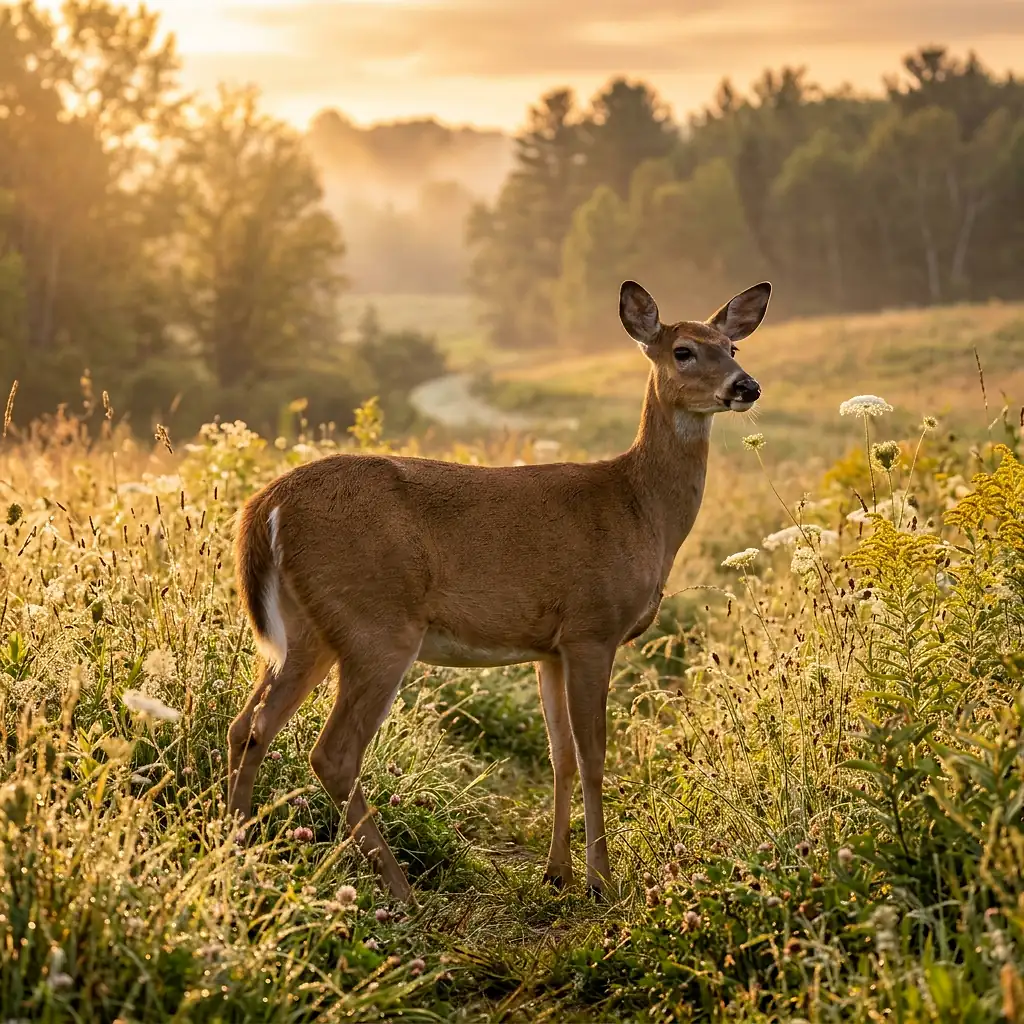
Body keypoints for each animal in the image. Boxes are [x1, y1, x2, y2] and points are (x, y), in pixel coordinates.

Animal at [227, 279, 771, 902]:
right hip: (375, 625)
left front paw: (557, 874)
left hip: (305, 628)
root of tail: (265, 505)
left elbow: (560, 755)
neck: (640, 509)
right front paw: (601, 881)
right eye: (683, 350)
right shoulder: (592, 627)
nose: (746, 386)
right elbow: (594, 756)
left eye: (731, 346)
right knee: (332, 753)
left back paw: (236, 851)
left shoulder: (550, 647)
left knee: (248, 726)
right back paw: (400, 889)